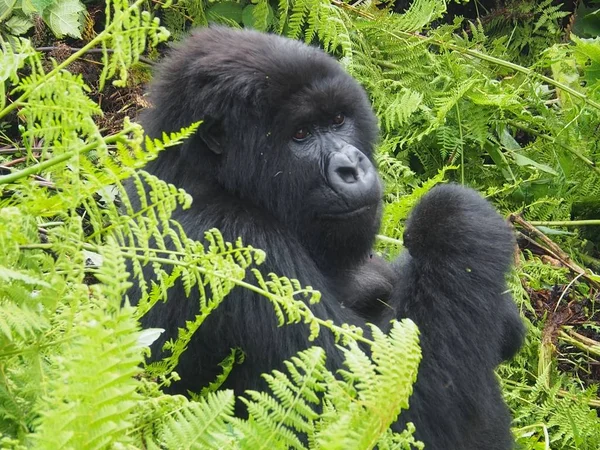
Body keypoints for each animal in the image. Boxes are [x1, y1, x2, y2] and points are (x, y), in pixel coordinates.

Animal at [132, 27, 524, 450]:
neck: (207, 177)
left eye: (338, 120)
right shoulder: (236, 242)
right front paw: (454, 219)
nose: (351, 167)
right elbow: (387, 408)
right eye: (301, 134)